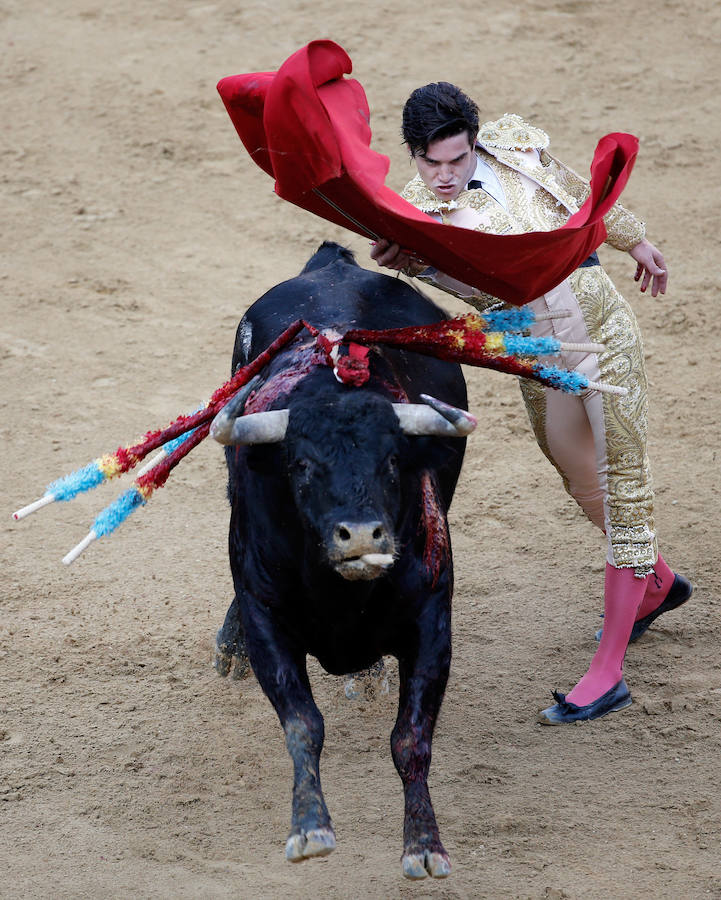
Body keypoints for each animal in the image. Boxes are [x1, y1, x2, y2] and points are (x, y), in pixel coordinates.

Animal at [211, 241, 476, 880]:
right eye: (302, 466)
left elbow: (411, 739)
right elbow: (303, 725)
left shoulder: (433, 623)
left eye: (392, 461)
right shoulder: (269, 623)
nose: (360, 536)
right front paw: (310, 829)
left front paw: (424, 844)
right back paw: (228, 649)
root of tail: (332, 265)